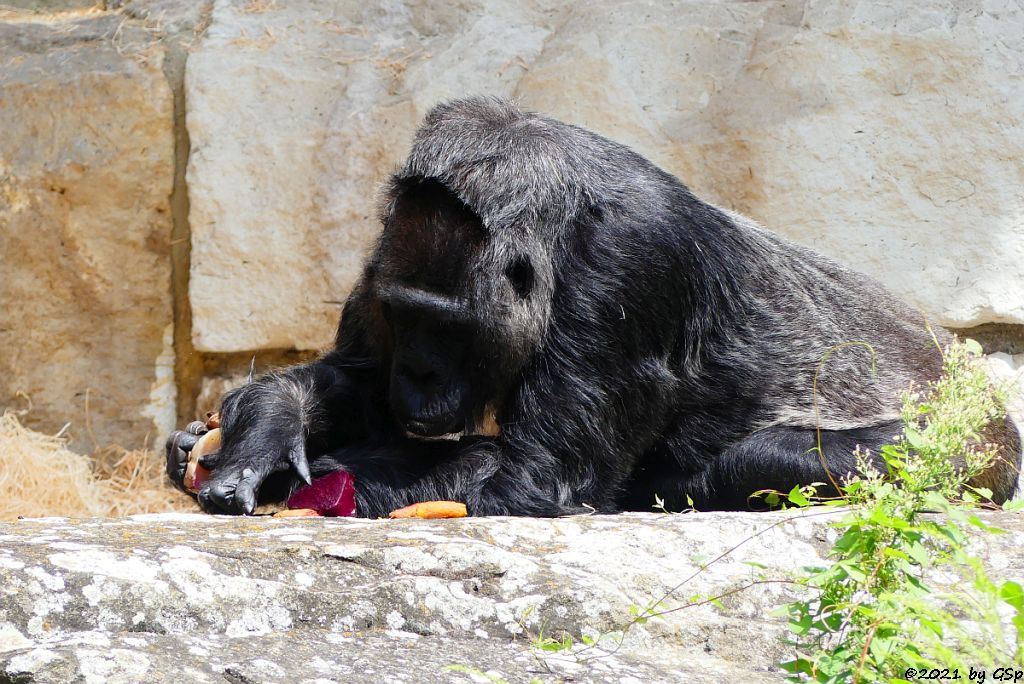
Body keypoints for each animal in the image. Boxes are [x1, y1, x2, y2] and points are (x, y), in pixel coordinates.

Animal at [165, 94, 1015, 511]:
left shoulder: (631, 265)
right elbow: (353, 381)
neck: (556, 228)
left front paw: (316, 476)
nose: (419, 377)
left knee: (772, 458)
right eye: (405, 316)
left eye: (446, 326)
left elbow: (527, 481)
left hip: (980, 448)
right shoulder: (387, 251)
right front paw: (263, 427)